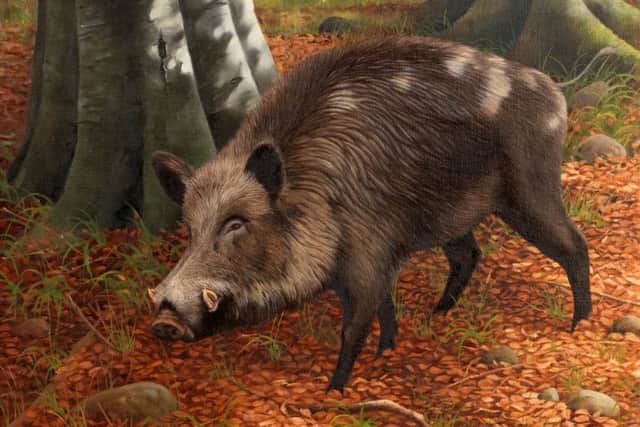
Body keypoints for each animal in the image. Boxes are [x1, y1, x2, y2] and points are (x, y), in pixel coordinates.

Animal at [148, 36, 593, 392]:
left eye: (236, 223)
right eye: (190, 227)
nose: (164, 322)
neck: (317, 199)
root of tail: (552, 90)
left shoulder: (369, 257)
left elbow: (355, 325)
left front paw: (335, 390)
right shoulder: (382, 259)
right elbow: (385, 308)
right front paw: (386, 354)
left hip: (532, 191)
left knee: (575, 245)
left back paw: (578, 325)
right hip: (451, 217)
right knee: (469, 254)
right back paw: (435, 316)